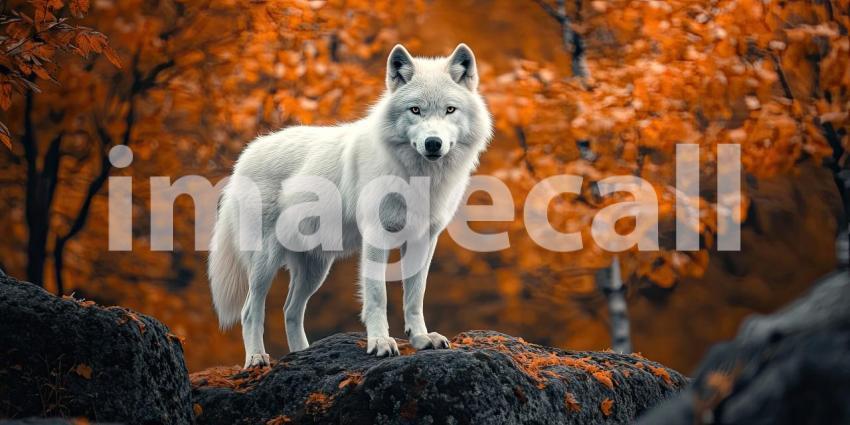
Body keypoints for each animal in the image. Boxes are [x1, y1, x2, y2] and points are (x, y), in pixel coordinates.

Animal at [208, 43, 492, 368]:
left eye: (450, 110)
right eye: (415, 110)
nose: (433, 143)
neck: (421, 179)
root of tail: (245, 155)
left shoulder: (424, 239)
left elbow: (415, 296)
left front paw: (421, 339)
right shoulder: (377, 236)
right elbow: (378, 295)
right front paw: (380, 342)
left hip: (315, 269)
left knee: (290, 310)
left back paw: (302, 355)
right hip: (265, 262)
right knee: (250, 310)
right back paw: (256, 358)